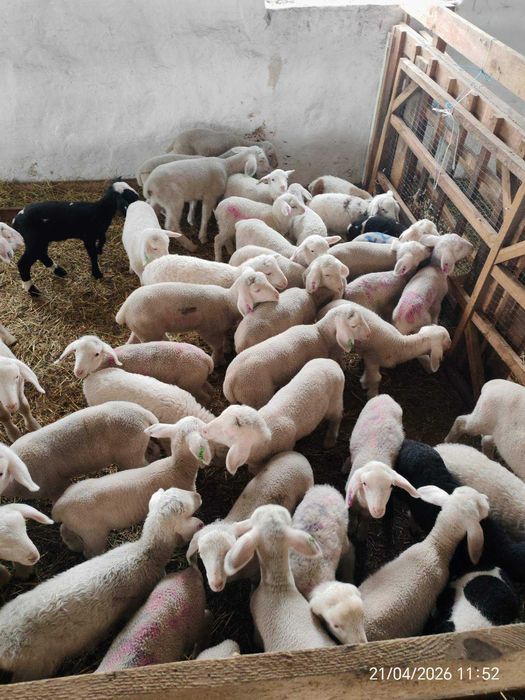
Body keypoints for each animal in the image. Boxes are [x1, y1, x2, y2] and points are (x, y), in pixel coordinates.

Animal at [3, 401, 158, 502]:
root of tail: (145, 415)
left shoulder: (55, 485)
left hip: (130, 455)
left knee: (145, 466)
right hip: (140, 445)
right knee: (153, 449)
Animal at [52, 416, 210, 558]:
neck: (177, 467)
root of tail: (59, 507)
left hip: (76, 525)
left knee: (64, 530)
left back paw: (73, 545)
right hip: (93, 534)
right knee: (90, 552)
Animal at [55, 335, 214, 403]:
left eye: (96, 354)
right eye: (76, 351)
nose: (78, 372)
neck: (106, 362)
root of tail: (206, 359)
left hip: (190, 383)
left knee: (206, 397)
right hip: (197, 380)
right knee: (208, 387)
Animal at [115, 268, 280, 365]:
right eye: (257, 290)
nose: (277, 295)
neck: (227, 301)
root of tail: (124, 308)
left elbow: (225, 339)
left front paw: (227, 349)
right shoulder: (208, 330)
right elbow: (217, 346)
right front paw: (217, 361)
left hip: (141, 329)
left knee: (133, 341)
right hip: (149, 332)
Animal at [204, 358, 345, 474]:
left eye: (227, 433)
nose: (204, 430)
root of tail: (332, 363)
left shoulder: (287, 445)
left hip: (335, 401)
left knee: (337, 417)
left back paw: (330, 439)